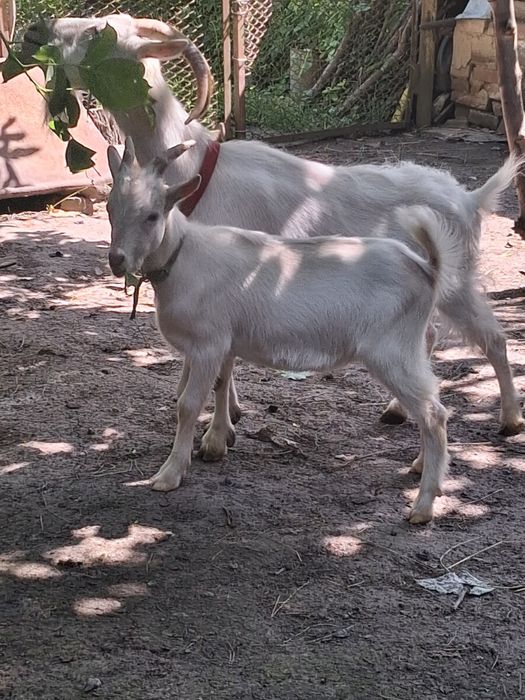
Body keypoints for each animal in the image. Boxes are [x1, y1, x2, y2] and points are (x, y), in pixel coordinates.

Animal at [25, 14, 524, 439]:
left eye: (97, 32)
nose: (34, 31)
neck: (195, 169)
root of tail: (470, 198)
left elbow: (221, 362)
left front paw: (220, 428)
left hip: (458, 281)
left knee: (495, 339)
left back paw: (509, 419)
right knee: (432, 336)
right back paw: (398, 410)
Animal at [105, 137, 465, 524]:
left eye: (152, 215)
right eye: (110, 208)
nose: (117, 260)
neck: (183, 256)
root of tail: (427, 268)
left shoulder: (207, 344)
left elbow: (187, 404)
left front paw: (169, 474)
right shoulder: (225, 342)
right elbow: (218, 385)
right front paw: (217, 440)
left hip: (392, 350)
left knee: (433, 413)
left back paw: (423, 506)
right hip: (409, 347)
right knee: (431, 406)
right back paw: (422, 467)